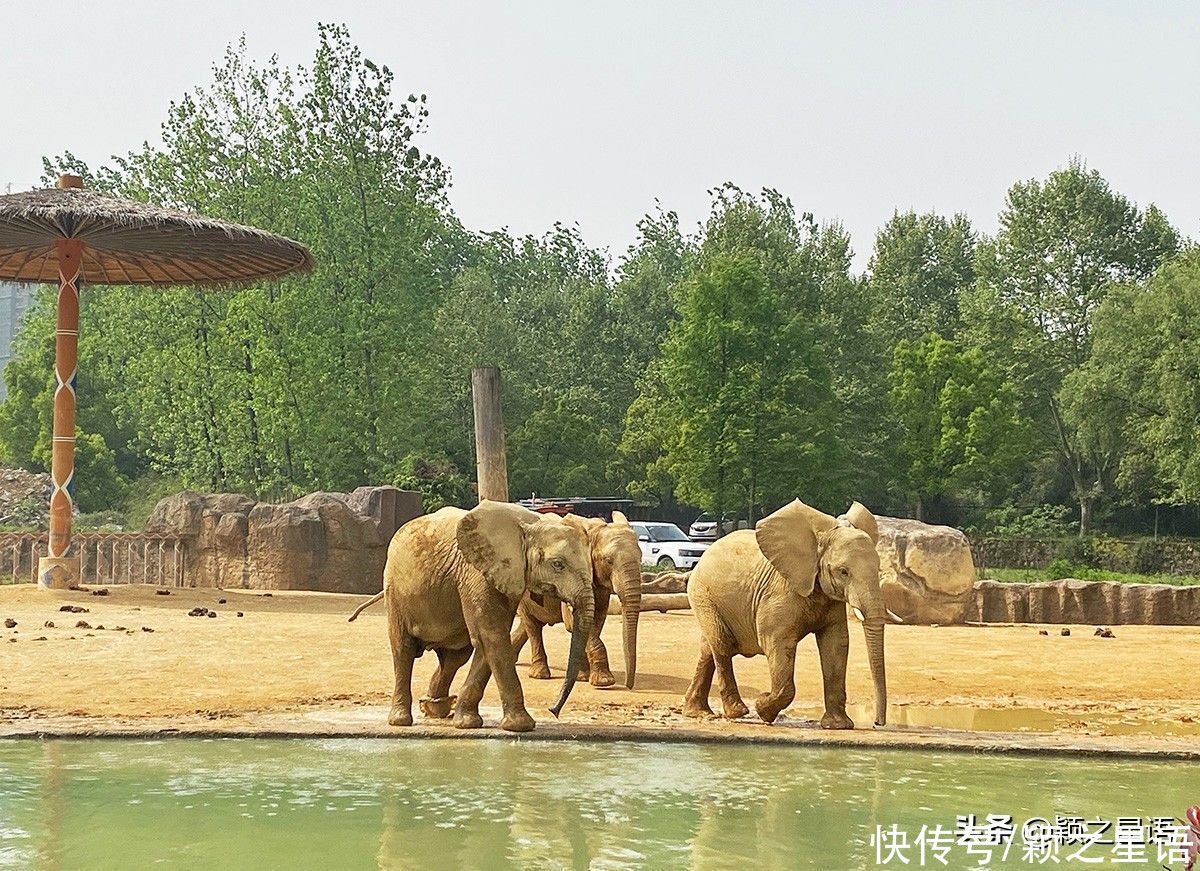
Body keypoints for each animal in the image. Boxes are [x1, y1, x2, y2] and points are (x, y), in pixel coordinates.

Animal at [374, 501, 590, 734]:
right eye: (558, 564)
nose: (553, 711)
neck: (531, 525)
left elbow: (489, 639)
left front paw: (466, 723)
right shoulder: (477, 572)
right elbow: (492, 635)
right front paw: (521, 726)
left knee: (455, 657)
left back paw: (434, 709)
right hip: (395, 592)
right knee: (403, 649)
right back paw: (401, 720)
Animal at [508, 511, 643, 691]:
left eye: (641, 559)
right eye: (608, 561)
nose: (629, 686)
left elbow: (596, 619)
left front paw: (585, 677)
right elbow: (575, 621)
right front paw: (604, 682)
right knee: (532, 625)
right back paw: (540, 674)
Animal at [681, 499, 888, 729]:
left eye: (879, 569)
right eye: (843, 572)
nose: (877, 723)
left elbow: (835, 643)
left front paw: (838, 726)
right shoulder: (780, 592)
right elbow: (777, 642)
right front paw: (762, 708)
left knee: (707, 649)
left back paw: (698, 713)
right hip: (703, 594)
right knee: (721, 644)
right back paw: (737, 712)